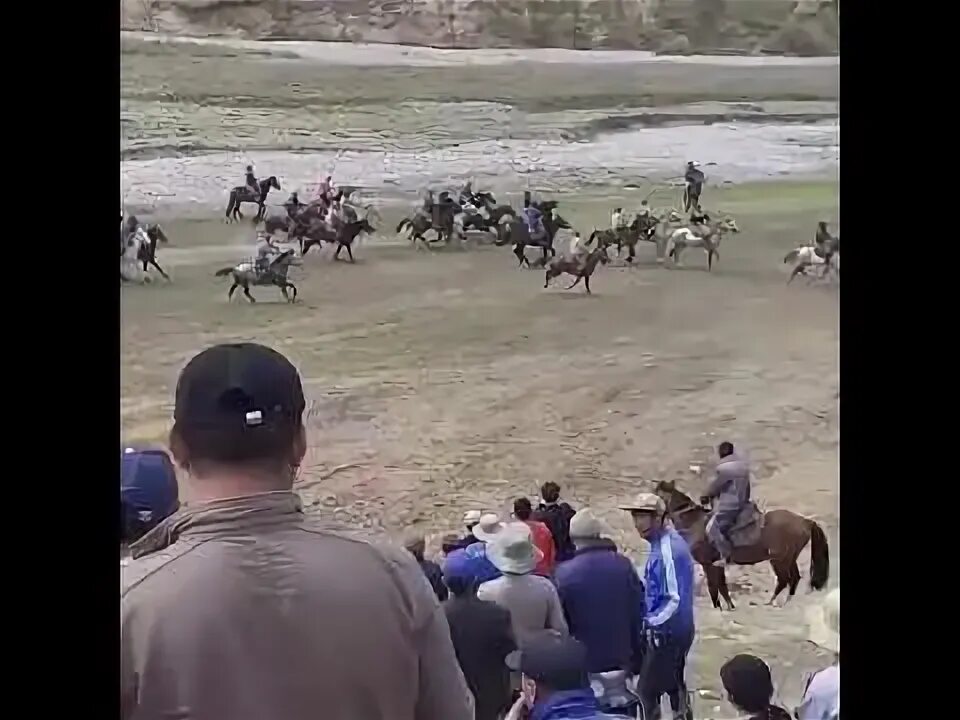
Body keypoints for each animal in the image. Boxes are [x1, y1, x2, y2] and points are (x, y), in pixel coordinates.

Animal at [656, 480, 828, 612]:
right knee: (794, 578)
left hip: (780, 560)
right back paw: (785, 602)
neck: (695, 523)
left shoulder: (708, 565)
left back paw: (772, 602)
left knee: (785, 579)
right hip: (789, 559)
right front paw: (730, 607)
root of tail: (806, 521)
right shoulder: (716, 566)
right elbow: (722, 587)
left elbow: (714, 588)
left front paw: (718, 608)